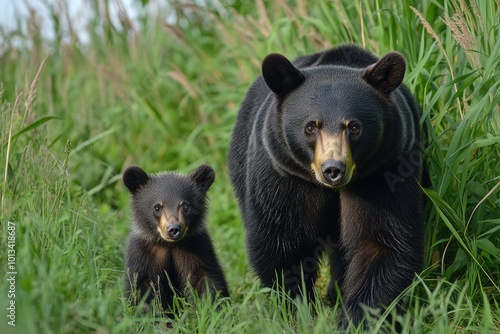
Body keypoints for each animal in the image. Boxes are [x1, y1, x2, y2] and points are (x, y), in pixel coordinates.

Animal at [123, 164, 229, 310]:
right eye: (157, 207)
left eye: (185, 206)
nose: (173, 229)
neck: (170, 245)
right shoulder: (143, 254)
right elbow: (140, 288)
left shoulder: (198, 248)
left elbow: (207, 279)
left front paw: (210, 308)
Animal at [229, 45, 424, 326]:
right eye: (311, 126)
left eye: (353, 127)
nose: (333, 169)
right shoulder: (284, 178)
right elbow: (282, 242)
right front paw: (295, 309)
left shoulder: (384, 173)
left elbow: (383, 241)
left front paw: (358, 318)